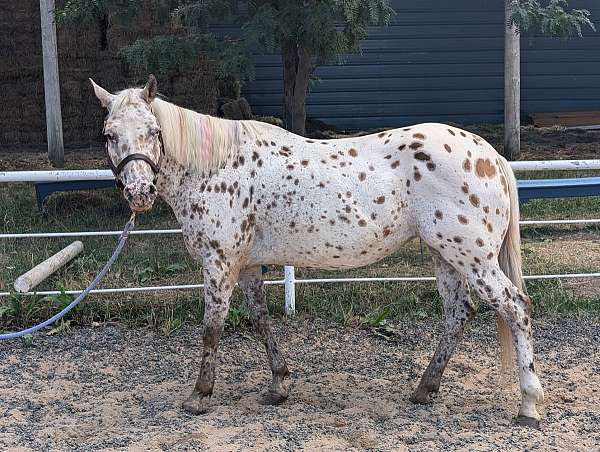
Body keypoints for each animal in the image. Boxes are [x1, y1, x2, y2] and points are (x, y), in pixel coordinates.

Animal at [91, 75, 548, 428]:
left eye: (153, 131)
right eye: (110, 135)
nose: (138, 193)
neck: (215, 166)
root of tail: (490, 155)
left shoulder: (219, 263)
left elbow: (211, 327)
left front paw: (199, 395)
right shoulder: (247, 265)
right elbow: (260, 320)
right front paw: (278, 385)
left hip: (473, 258)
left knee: (515, 308)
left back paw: (528, 406)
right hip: (446, 256)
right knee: (458, 313)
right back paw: (424, 389)